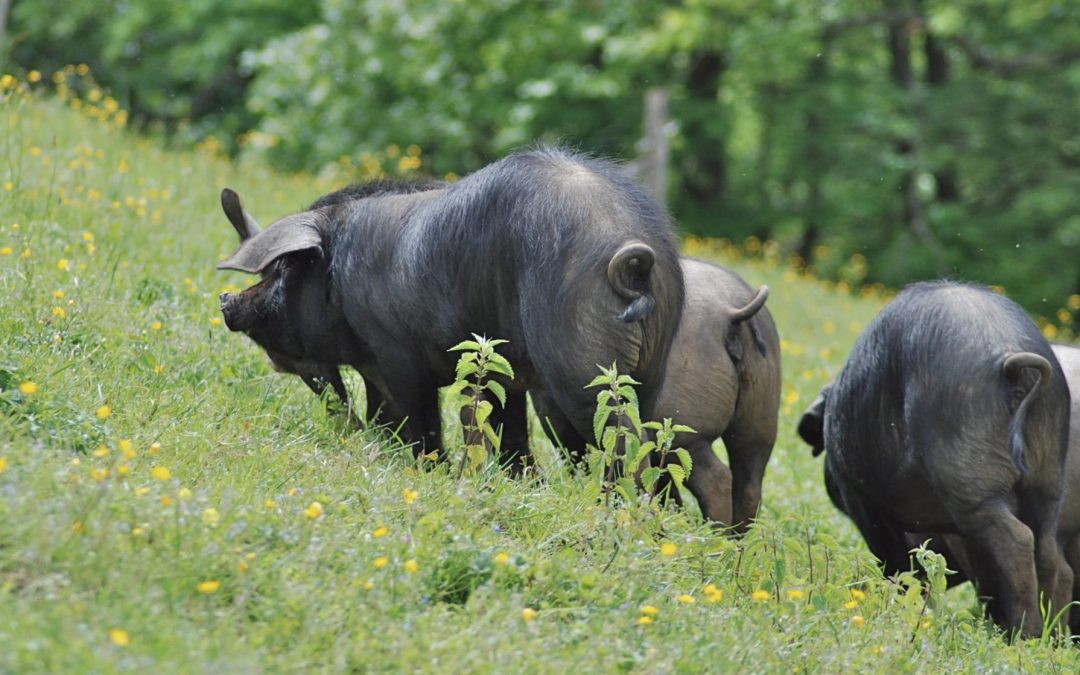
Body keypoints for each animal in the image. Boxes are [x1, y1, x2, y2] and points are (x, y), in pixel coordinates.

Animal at [214, 146, 678, 473]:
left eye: (285, 267)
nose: (227, 301)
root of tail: (633, 256)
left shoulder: (396, 354)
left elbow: (420, 419)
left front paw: (428, 468)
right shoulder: (500, 369)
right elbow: (505, 427)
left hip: (582, 365)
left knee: (622, 441)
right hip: (653, 364)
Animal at [535, 258, 781, 531]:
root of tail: (730, 313)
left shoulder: (556, 414)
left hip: (682, 433)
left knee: (716, 479)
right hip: (759, 424)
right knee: (749, 485)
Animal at [794, 278, 1071, 635]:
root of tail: (1011, 361)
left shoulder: (861, 499)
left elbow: (895, 560)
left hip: (969, 478)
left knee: (1017, 539)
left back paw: (1024, 633)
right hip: (1048, 478)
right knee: (1049, 550)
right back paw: (1049, 636)